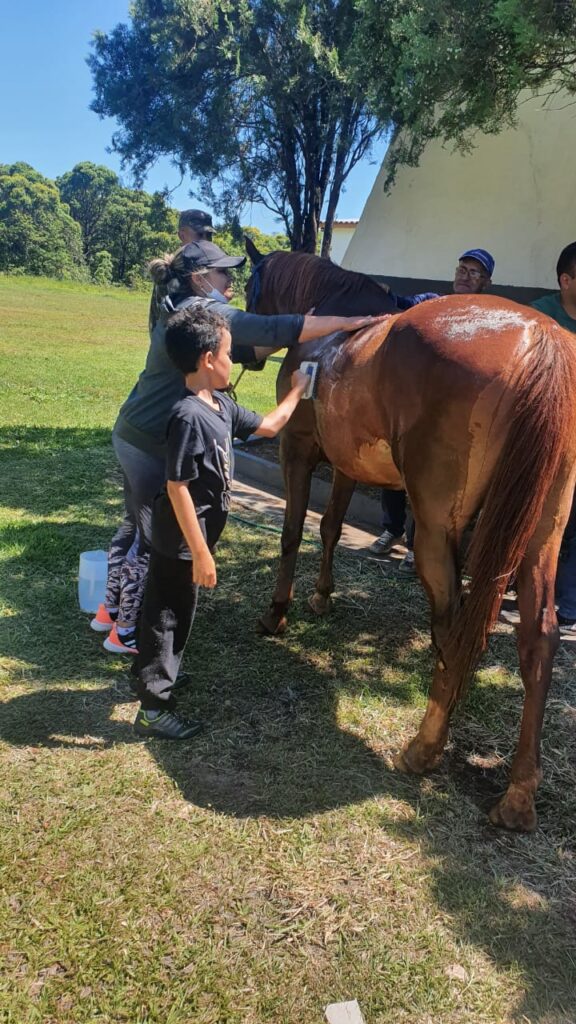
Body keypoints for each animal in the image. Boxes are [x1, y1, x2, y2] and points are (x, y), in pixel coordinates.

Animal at [243, 239, 573, 831]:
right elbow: (330, 527)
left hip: (438, 529)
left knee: (453, 622)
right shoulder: (346, 465)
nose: (246, 353)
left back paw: (424, 747)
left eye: (251, 286)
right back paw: (518, 795)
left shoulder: (297, 449)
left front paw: (276, 613)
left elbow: (293, 532)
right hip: (542, 532)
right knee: (538, 637)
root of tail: (542, 339)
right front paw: (322, 597)